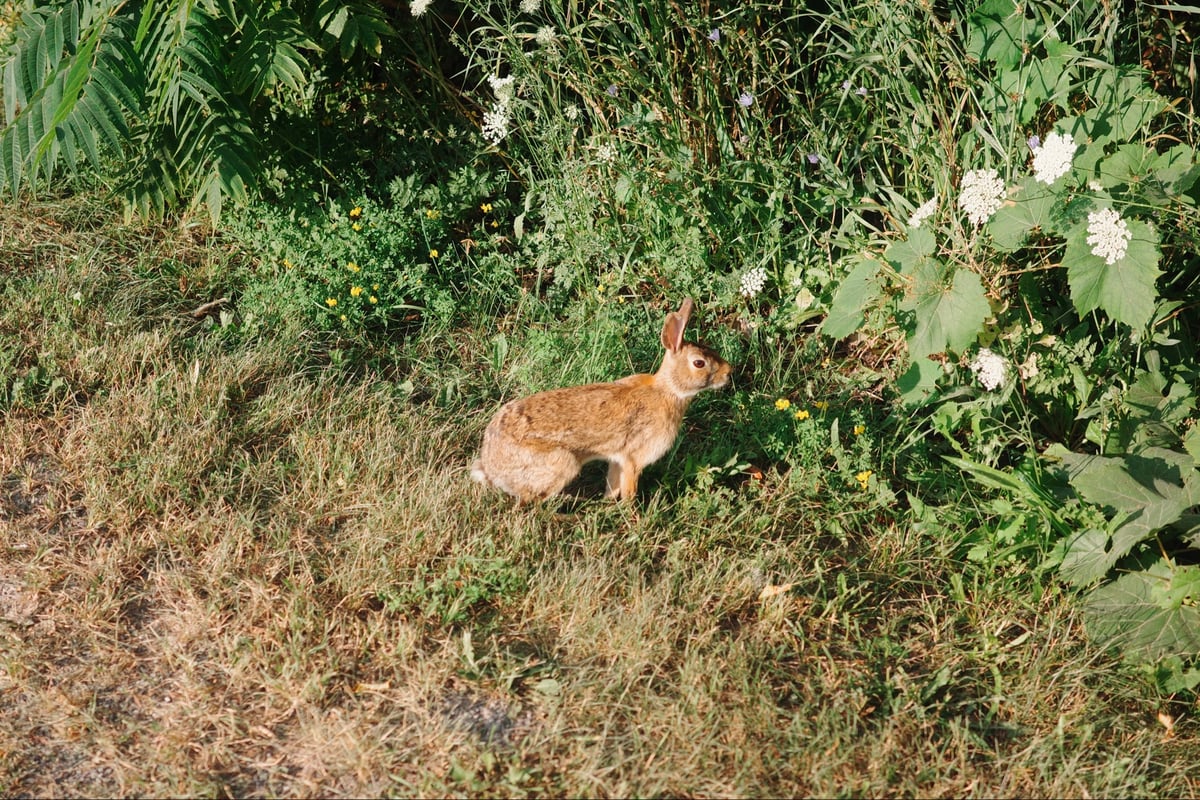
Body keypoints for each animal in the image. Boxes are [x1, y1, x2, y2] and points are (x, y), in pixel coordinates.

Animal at [471, 298, 731, 504]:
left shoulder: (617, 459)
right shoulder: (633, 459)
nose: (728, 372)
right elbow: (629, 489)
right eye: (699, 363)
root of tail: (492, 468)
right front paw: (631, 513)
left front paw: (608, 503)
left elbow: (613, 485)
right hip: (563, 463)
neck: (668, 390)